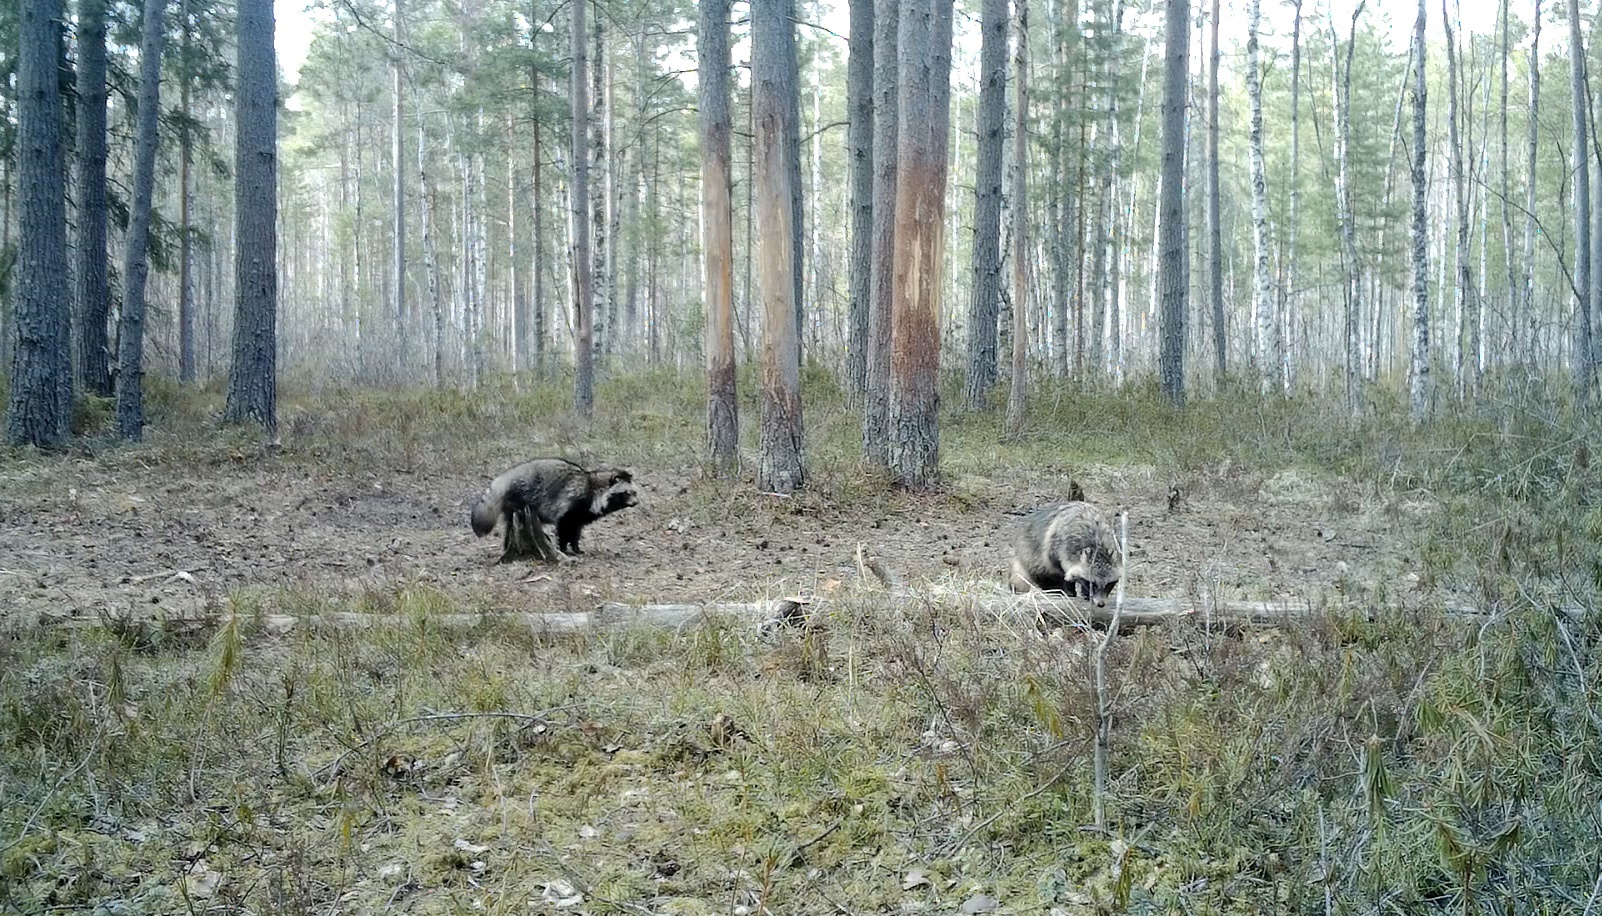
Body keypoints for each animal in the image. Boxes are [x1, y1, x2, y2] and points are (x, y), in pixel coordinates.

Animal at [467, 454, 637, 560]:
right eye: (626, 493)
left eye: (634, 492)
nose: (636, 503)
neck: (593, 487)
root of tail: (504, 479)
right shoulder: (570, 505)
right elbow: (563, 529)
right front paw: (563, 548)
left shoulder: (581, 514)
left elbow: (576, 532)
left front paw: (576, 548)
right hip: (520, 497)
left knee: (508, 526)